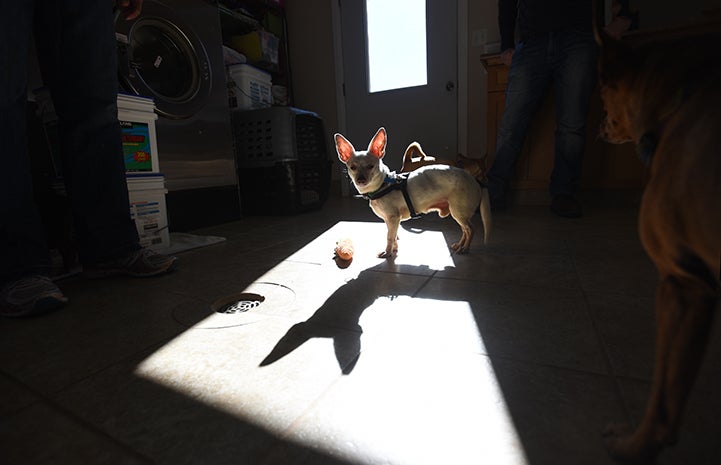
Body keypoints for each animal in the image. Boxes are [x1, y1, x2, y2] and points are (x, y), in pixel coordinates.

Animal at [336, 127, 492, 258]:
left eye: (370, 166)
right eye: (352, 167)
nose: (360, 179)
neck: (383, 185)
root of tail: (476, 181)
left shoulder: (393, 218)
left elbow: (389, 237)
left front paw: (388, 252)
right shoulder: (390, 221)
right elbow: (394, 235)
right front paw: (394, 250)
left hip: (458, 212)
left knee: (471, 230)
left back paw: (465, 248)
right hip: (459, 214)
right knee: (465, 230)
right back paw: (460, 245)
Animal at [596, 28, 720, 464]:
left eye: (600, 91)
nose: (598, 127)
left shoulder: (679, 284)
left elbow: (662, 395)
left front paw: (631, 447)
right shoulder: (694, 287)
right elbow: (670, 394)